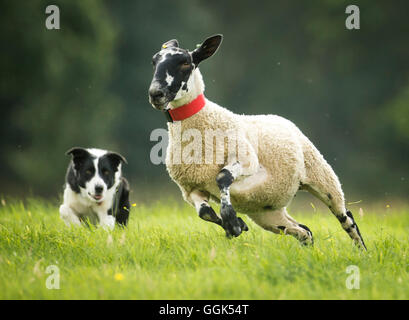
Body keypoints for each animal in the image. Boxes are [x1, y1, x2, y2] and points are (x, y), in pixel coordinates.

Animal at [148, 35, 364, 250]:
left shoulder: (247, 160)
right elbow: (205, 213)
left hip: (322, 177)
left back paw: (362, 252)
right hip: (266, 211)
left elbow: (222, 177)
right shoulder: (191, 188)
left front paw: (231, 219)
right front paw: (236, 225)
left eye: (185, 62)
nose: (155, 93)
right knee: (304, 230)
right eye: (154, 62)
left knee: (346, 218)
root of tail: (281, 118)